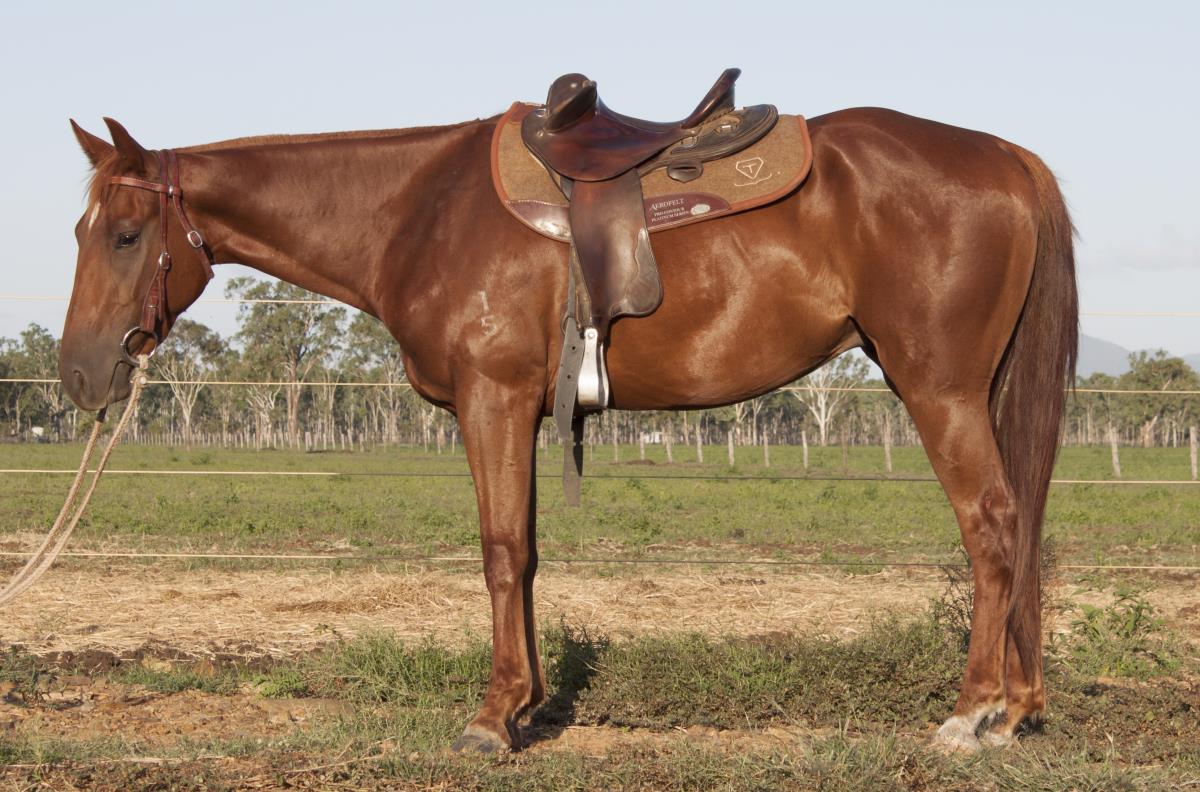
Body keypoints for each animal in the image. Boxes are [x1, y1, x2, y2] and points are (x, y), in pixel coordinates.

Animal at [61, 99, 1077, 753]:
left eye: (124, 234)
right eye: (79, 232)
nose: (78, 374)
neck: (415, 210)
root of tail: (1006, 158)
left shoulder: (494, 400)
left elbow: (500, 550)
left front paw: (491, 719)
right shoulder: (524, 410)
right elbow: (530, 553)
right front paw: (533, 706)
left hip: (940, 390)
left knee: (993, 525)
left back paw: (971, 714)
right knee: (1023, 525)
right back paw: (1020, 708)